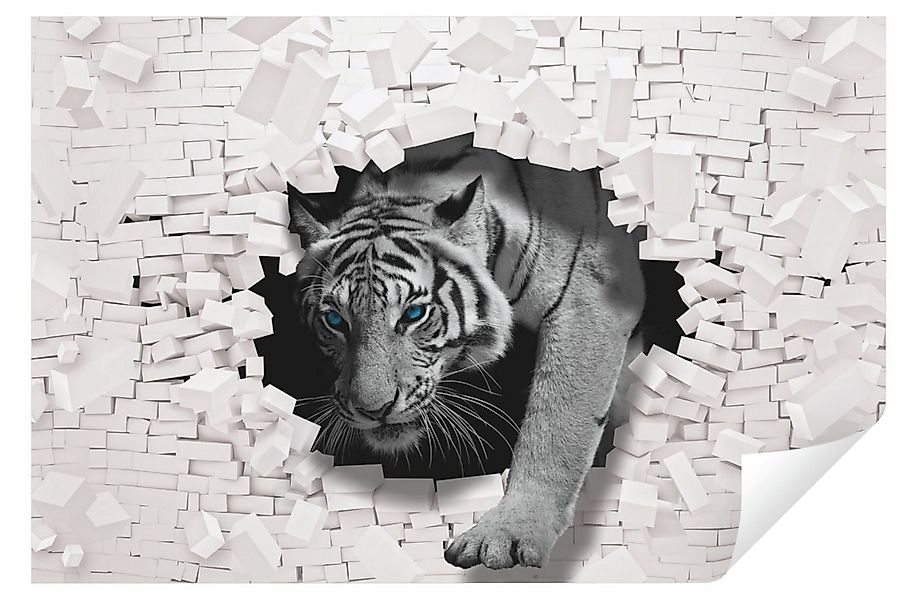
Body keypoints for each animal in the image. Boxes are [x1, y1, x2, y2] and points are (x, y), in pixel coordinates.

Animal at [287, 132, 645, 570]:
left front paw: (508, 533)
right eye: (335, 321)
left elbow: (556, 428)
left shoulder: (589, 300)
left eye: (414, 313)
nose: (373, 411)